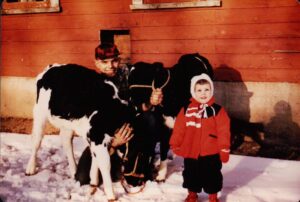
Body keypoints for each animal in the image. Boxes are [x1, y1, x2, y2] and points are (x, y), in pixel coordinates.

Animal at [24, 64, 136, 201]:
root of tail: (52, 67)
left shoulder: (94, 138)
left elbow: (96, 160)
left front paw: (93, 184)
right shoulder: (97, 137)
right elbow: (104, 164)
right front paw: (111, 195)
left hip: (67, 123)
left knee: (66, 141)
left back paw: (74, 171)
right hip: (40, 113)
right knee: (36, 140)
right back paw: (30, 168)